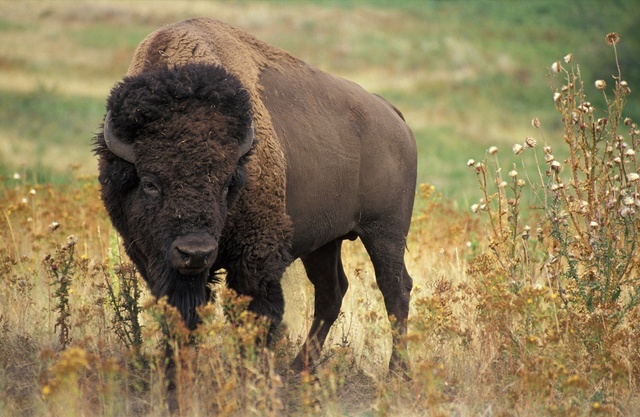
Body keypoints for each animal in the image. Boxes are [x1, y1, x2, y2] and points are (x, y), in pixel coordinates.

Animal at [95, 18, 417, 372]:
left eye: (226, 183)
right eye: (150, 182)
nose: (196, 252)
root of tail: (391, 114)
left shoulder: (255, 257)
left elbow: (256, 315)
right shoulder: (153, 259)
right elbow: (181, 315)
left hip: (385, 232)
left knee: (395, 289)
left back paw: (397, 371)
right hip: (325, 240)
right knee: (332, 291)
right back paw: (299, 369)